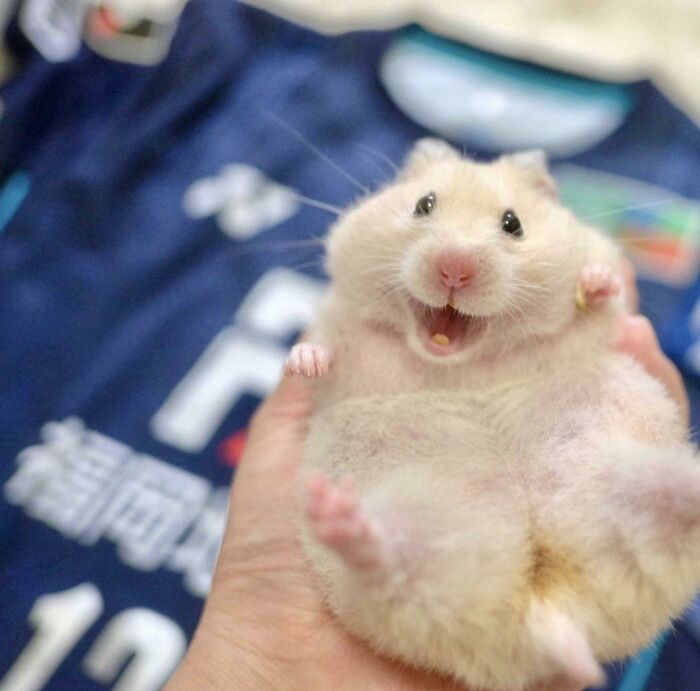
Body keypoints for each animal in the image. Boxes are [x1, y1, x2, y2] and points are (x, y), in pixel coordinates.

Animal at [285, 138, 700, 691]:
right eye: (423, 205)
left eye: (513, 223)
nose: (454, 268)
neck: (461, 367)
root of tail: (549, 609)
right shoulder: (339, 331)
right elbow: (323, 352)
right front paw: (303, 362)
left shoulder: (604, 318)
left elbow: (603, 300)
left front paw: (592, 284)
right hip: (425, 544)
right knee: (386, 567)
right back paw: (340, 519)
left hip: (625, 479)